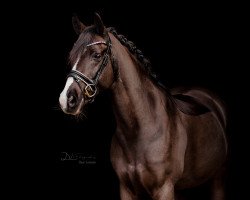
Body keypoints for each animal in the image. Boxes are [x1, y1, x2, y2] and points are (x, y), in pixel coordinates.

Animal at [59, 13, 229, 199]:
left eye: (96, 55)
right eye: (71, 56)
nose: (67, 99)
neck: (141, 129)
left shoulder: (164, 189)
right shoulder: (126, 189)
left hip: (218, 178)